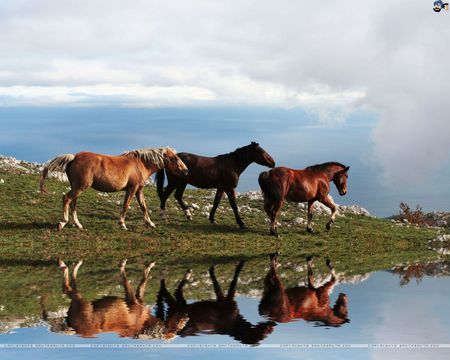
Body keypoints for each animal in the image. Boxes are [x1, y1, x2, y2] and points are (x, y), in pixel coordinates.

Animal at [39, 147, 189, 229]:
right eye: (175, 158)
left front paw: (150, 223)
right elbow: (126, 205)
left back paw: (78, 224)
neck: (140, 164)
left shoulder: (139, 190)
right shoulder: (132, 189)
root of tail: (73, 157)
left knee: (73, 203)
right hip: (80, 187)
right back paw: (63, 222)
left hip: (77, 187)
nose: (186, 170)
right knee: (67, 199)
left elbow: (143, 206)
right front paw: (122, 224)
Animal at [43, 260, 189, 338]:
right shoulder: (132, 300)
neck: (143, 323)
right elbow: (130, 279)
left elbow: (142, 282)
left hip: (76, 303)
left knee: (71, 286)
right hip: (82, 302)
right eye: (177, 328)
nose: (186, 317)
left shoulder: (138, 300)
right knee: (67, 288)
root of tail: (74, 328)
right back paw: (66, 264)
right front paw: (125, 264)